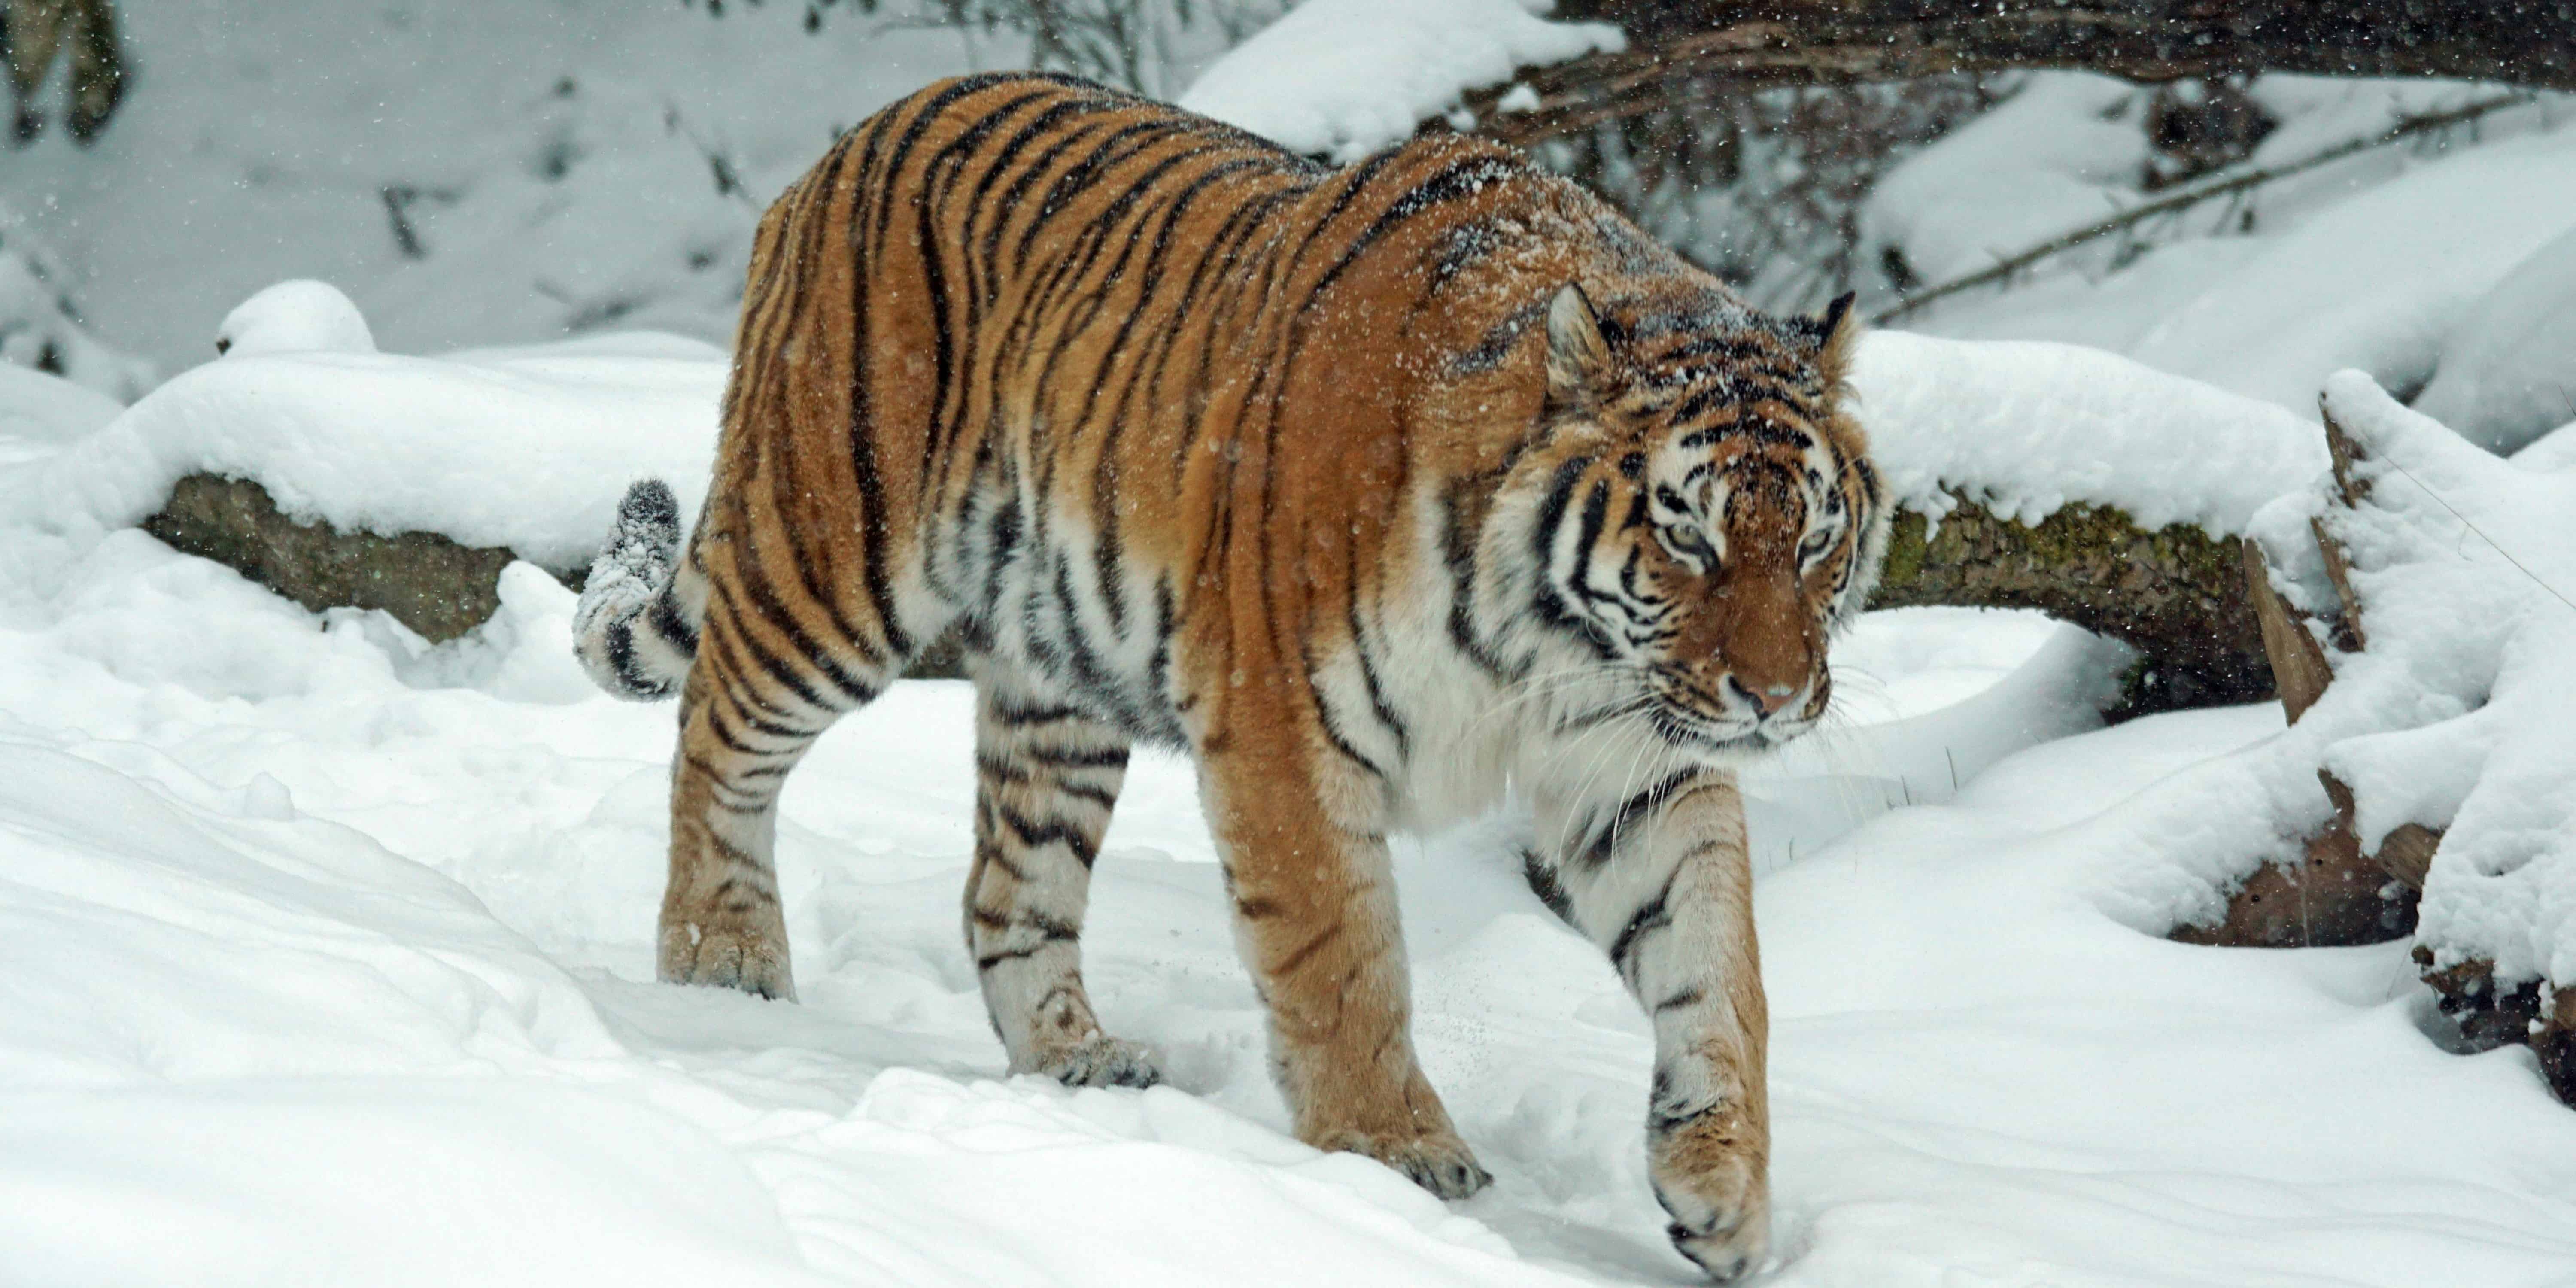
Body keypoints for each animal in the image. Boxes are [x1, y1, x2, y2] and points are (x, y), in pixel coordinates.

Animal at [572, 72, 1884, 1281]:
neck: (1551, 647)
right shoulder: (1282, 730)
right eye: (1688, 536)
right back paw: (719, 963)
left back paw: (1078, 1062)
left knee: (1007, 888)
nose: (1777, 700)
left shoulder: (1636, 763)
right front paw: (1393, 1156)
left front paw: (1723, 1189)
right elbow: (1343, 960)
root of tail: (849, 143)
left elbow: (1718, 964)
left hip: (1058, 684)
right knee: (717, 738)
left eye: (1814, 539)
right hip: (834, 557)